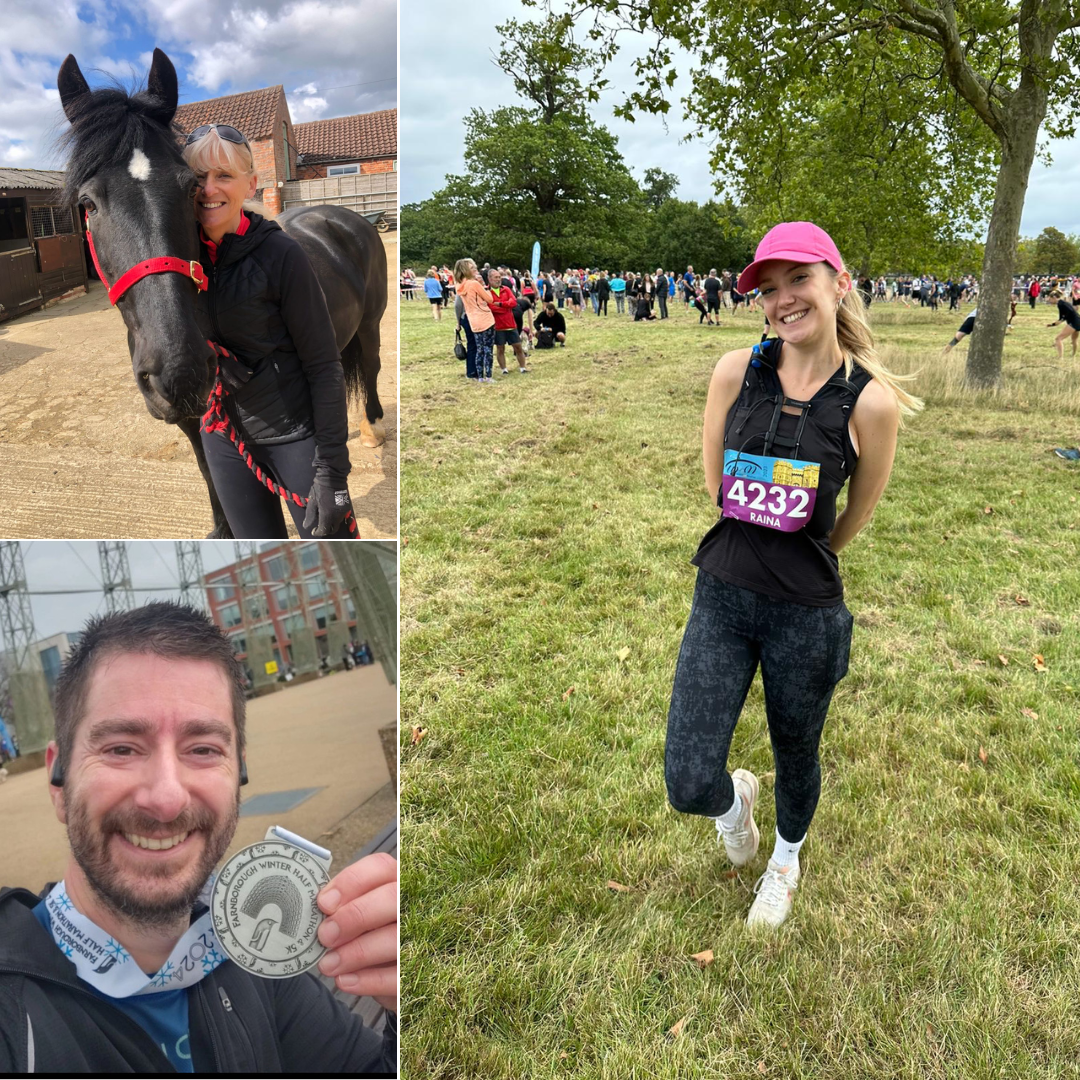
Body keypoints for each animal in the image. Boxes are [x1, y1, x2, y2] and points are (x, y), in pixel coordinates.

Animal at [56, 48, 388, 537]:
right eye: (88, 203)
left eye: (191, 188)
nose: (182, 370)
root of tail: (345, 217)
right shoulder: (189, 411)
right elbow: (207, 466)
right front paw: (223, 527)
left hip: (371, 324)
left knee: (370, 366)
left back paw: (371, 428)